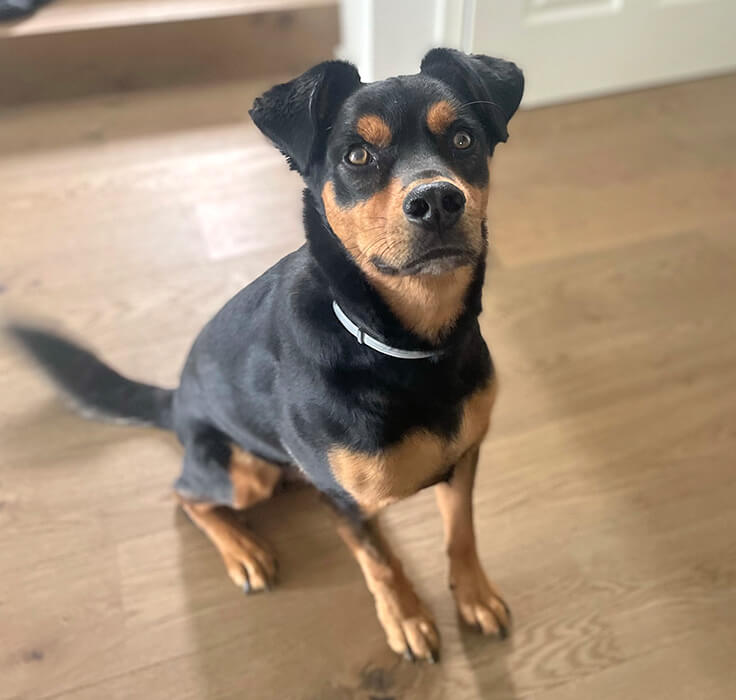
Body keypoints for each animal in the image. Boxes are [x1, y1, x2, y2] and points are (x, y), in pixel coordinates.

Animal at [8, 48, 523, 663]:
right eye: (357, 155)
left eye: (464, 139)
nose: (438, 201)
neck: (410, 346)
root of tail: (175, 400)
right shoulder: (348, 503)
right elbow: (380, 563)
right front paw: (407, 618)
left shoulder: (465, 455)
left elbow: (462, 529)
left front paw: (473, 594)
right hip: (238, 469)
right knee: (185, 494)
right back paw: (242, 549)